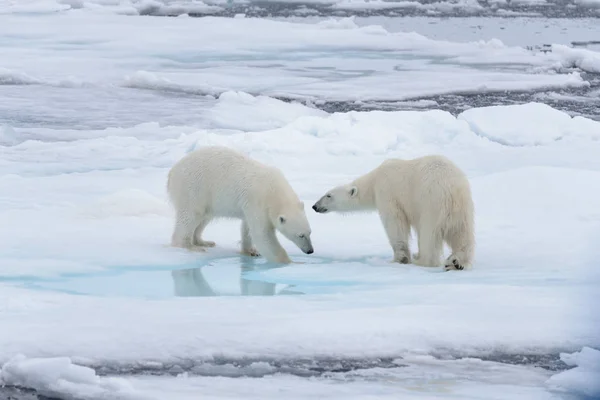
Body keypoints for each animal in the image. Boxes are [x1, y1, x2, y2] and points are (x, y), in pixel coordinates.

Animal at [165, 145, 314, 264]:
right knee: (190, 215)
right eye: (300, 235)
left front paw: (251, 251)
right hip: (193, 187)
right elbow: (262, 234)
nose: (310, 251)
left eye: (310, 232)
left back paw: (203, 241)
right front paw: (291, 262)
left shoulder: (251, 204)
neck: (273, 190)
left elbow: (247, 227)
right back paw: (190, 246)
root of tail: (172, 171)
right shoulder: (258, 200)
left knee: (204, 217)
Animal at [312, 155, 476, 270]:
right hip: (463, 209)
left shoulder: (388, 192)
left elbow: (394, 223)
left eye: (328, 195)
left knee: (428, 235)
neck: (374, 179)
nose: (315, 206)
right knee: (462, 235)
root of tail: (452, 190)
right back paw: (456, 262)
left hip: (430, 203)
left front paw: (400, 258)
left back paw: (421, 260)